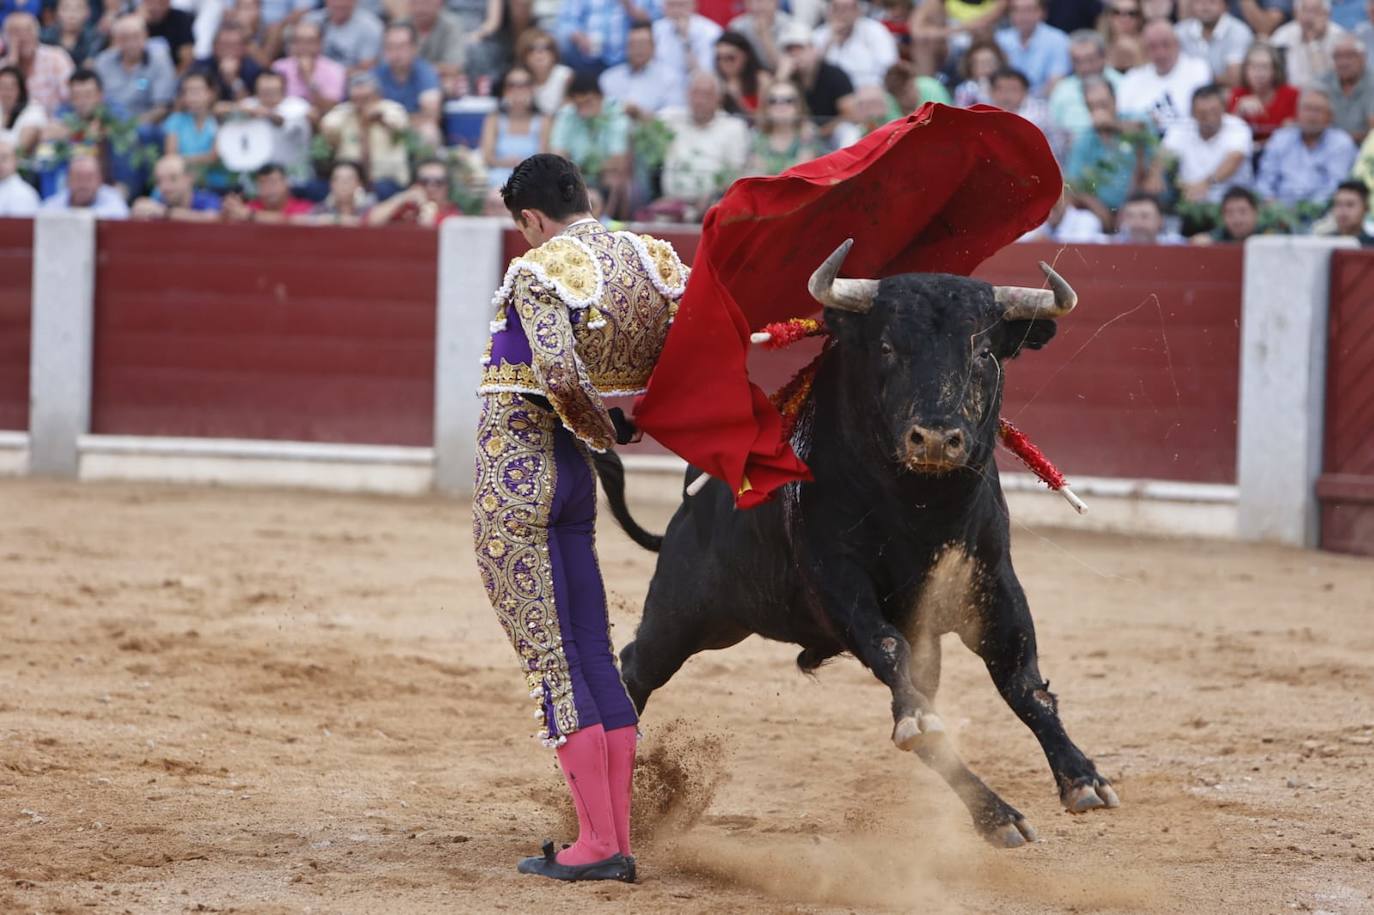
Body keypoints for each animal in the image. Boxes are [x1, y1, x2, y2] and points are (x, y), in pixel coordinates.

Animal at [596, 240, 1121, 840]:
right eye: (888, 346)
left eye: (985, 351)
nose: (935, 438)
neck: (921, 510)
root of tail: (687, 506)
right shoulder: (839, 579)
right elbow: (890, 651)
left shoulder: (993, 581)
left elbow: (1024, 681)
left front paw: (1083, 778)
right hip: (685, 612)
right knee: (636, 666)